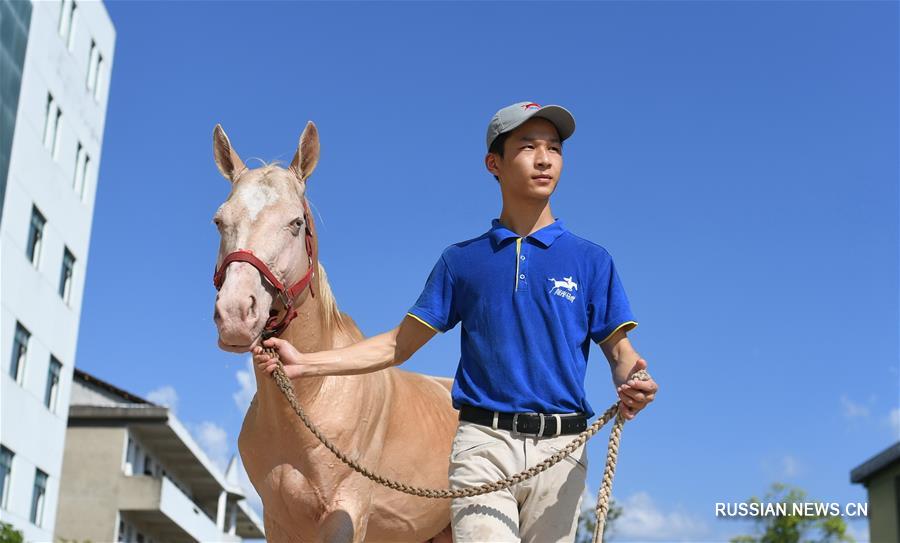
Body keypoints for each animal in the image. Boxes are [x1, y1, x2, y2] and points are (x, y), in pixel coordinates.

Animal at [211, 123, 458, 543]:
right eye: (219, 221)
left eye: (296, 223)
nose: (235, 314)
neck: (312, 397)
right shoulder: (277, 521)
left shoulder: (348, 511)